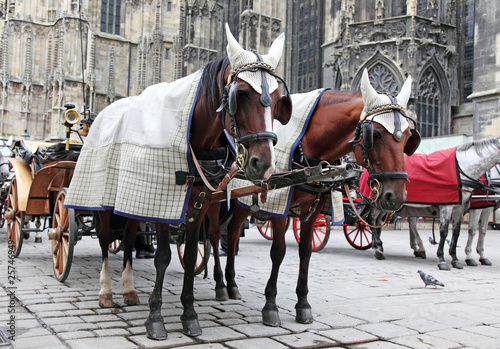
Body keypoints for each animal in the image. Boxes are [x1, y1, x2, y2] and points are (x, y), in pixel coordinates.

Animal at [66, 23, 292, 338]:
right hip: (104, 199)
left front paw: (189, 314)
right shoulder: (162, 202)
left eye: (279, 98)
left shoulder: (198, 202)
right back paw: (107, 292)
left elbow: (189, 255)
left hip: (131, 200)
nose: (264, 164)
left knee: (127, 237)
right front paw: (156, 318)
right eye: (241, 94)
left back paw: (129, 289)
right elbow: (162, 256)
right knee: (104, 239)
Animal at [205, 68, 420, 326]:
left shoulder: (314, 209)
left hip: (241, 204)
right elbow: (278, 251)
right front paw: (270, 306)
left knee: (234, 233)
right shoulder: (280, 204)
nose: (395, 196)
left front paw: (303, 305)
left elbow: (306, 252)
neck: (308, 150)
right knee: (215, 235)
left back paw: (232, 284)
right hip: (216, 200)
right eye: (375, 134)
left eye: (408, 137)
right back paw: (220, 284)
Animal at [368, 137, 500, 270]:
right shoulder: (454, 206)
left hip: (388, 202)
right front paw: (445, 259)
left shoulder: (461, 206)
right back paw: (379, 248)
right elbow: (449, 231)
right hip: (378, 202)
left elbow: (460, 231)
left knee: (385, 222)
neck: (462, 168)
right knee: (372, 220)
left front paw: (456, 259)